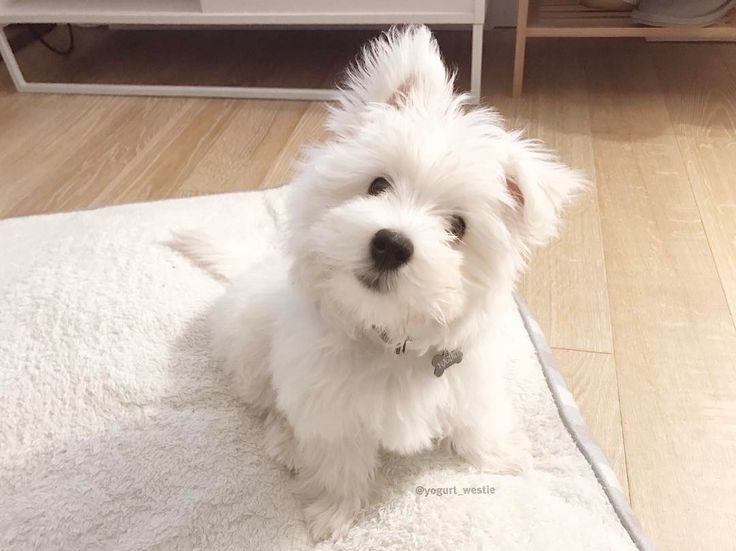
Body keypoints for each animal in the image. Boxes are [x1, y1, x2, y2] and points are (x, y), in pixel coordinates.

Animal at [175, 25, 584, 544]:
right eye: (376, 186)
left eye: (457, 227)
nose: (391, 244)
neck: (390, 336)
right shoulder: (329, 406)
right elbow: (338, 462)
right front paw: (333, 513)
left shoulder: (469, 378)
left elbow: (475, 419)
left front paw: (498, 456)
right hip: (250, 351)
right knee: (269, 403)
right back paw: (285, 440)